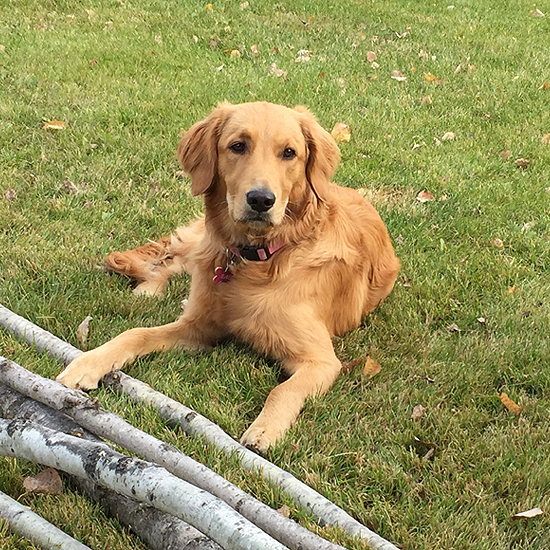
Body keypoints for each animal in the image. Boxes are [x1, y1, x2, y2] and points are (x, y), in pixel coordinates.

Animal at [57, 102, 402, 452]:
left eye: (289, 153)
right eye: (238, 146)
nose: (261, 200)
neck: (257, 258)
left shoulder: (320, 360)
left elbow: (284, 389)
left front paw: (264, 430)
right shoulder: (199, 325)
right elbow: (135, 333)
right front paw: (88, 363)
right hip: (201, 245)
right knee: (172, 256)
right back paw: (149, 288)